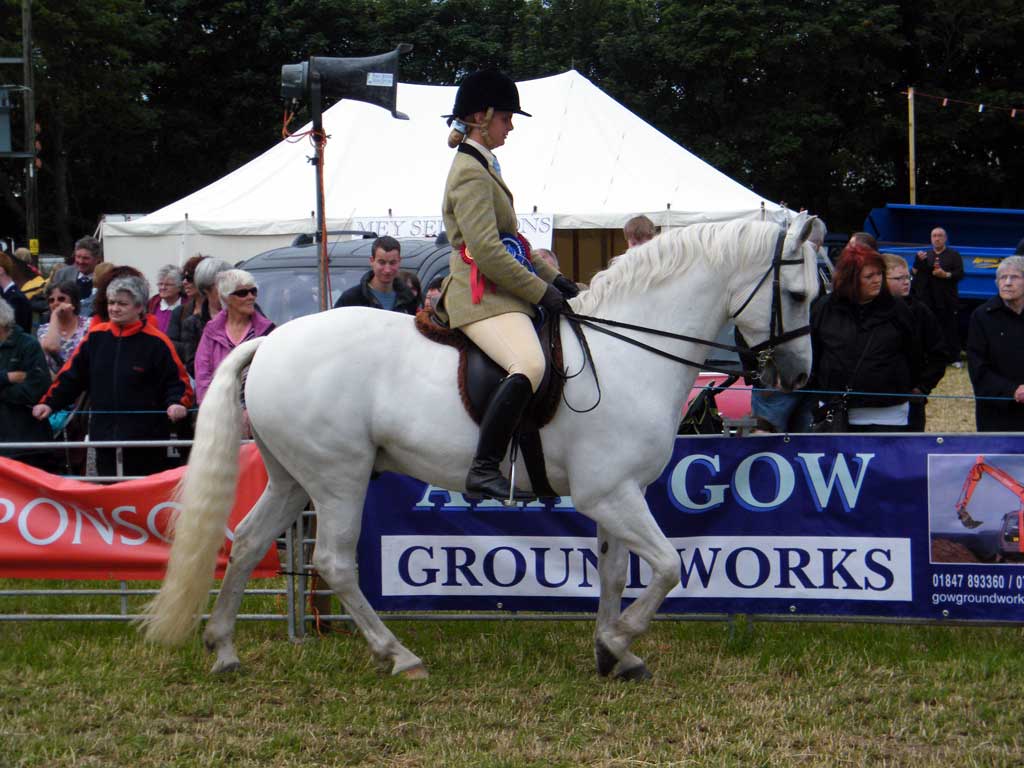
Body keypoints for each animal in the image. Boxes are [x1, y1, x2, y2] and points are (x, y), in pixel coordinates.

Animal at [142, 214, 823, 684]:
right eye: (796, 296)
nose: (796, 377)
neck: (626, 354)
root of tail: (272, 342)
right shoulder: (612, 494)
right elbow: (668, 567)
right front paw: (621, 641)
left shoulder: (615, 496)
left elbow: (614, 572)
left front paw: (613, 653)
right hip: (339, 477)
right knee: (333, 562)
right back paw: (399, 656)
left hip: (292, 478)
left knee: (249, 542)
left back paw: (224, 650)